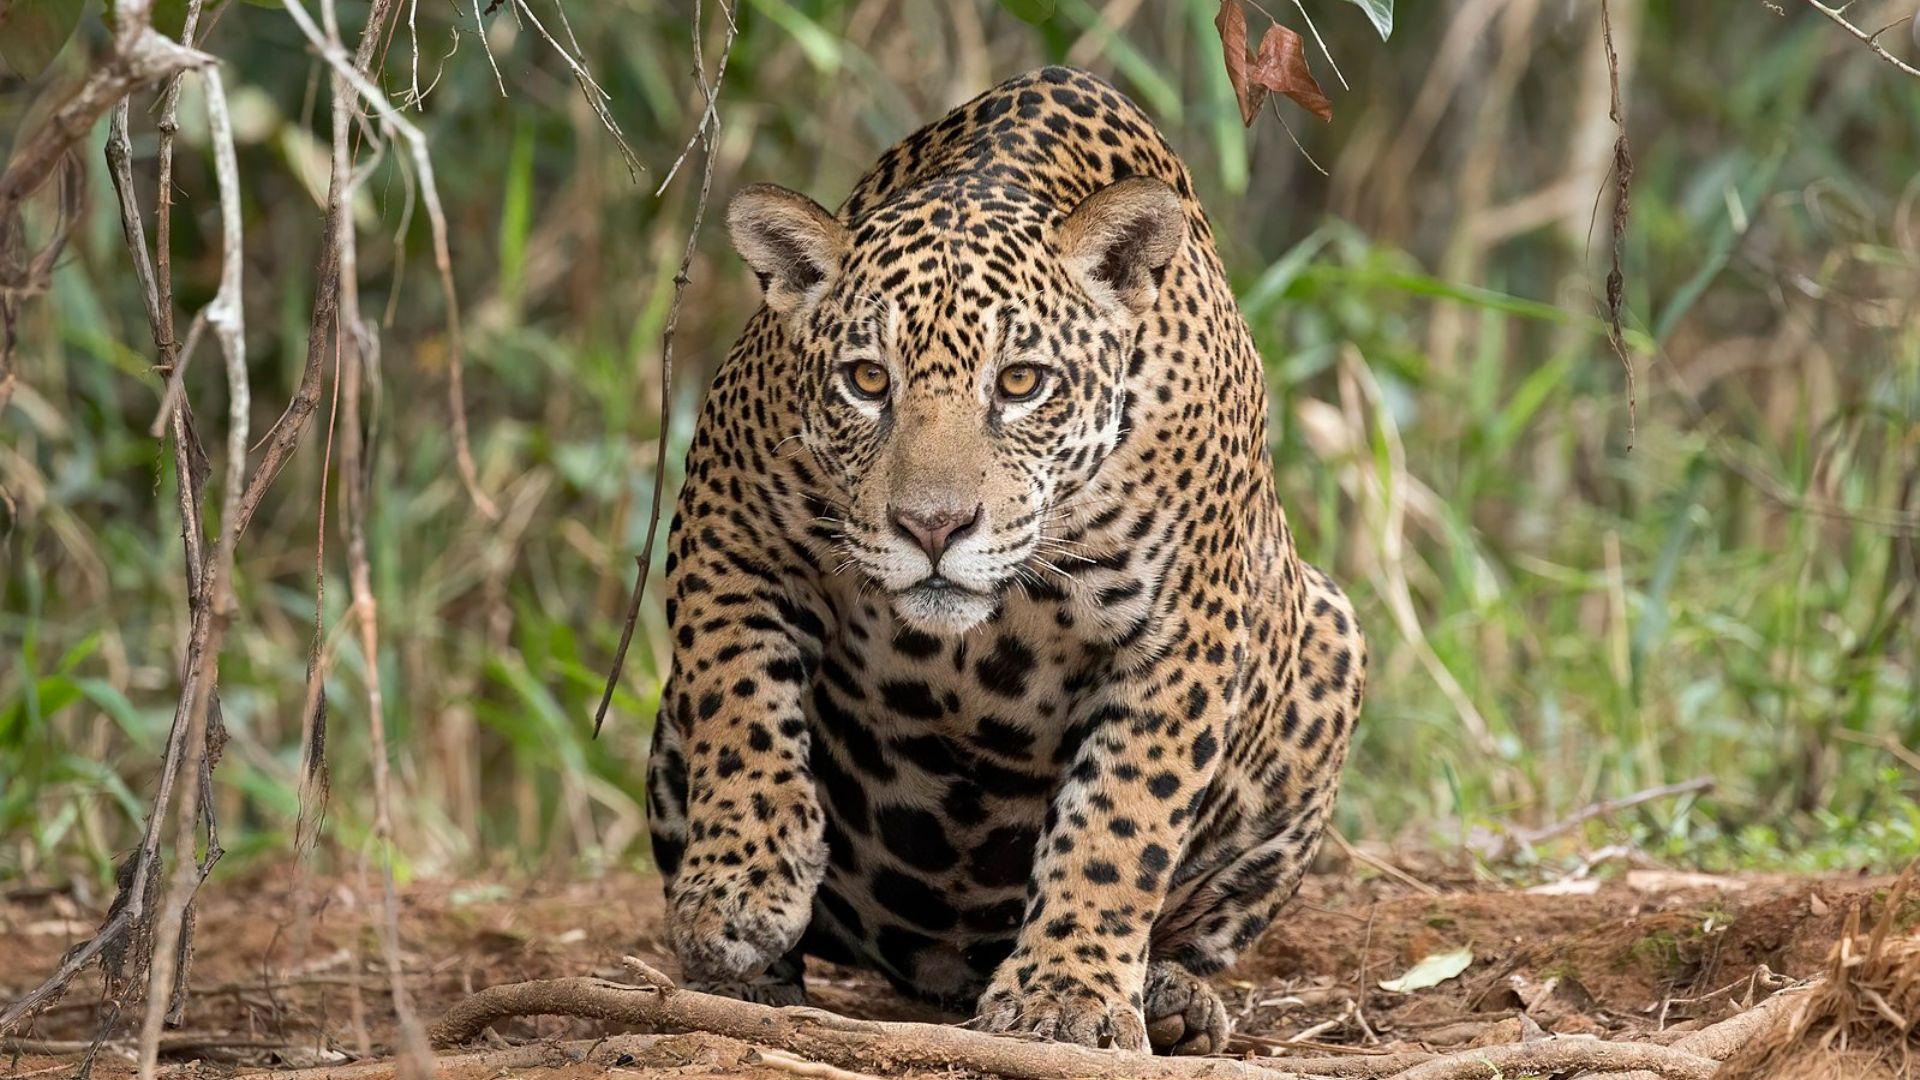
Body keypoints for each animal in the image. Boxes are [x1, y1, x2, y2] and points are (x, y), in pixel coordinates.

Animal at [645, 66, 1365, 1057]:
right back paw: (745, 981)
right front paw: (739, 890)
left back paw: (1172, 998)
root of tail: (941, 969)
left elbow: (1121, 817)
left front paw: (1067, 992)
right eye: (867, 381)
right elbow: (739, 699)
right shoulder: (726, 520)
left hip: (1330, 637)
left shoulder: (1184, 631)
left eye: (1021, 383)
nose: (932, 526)